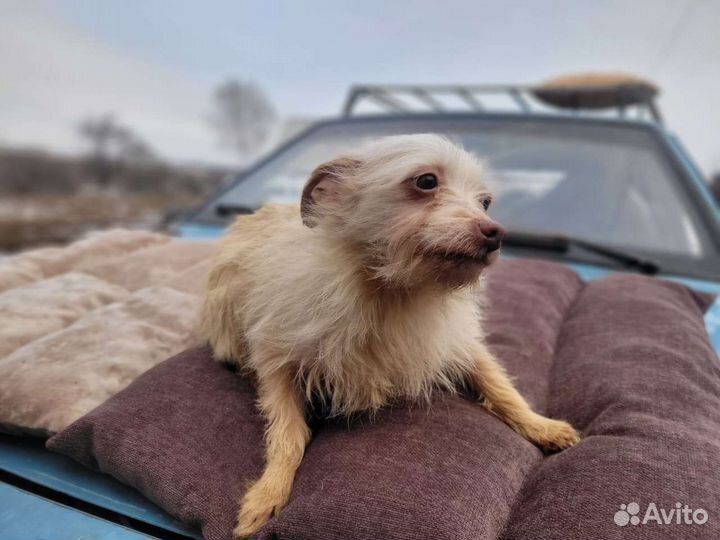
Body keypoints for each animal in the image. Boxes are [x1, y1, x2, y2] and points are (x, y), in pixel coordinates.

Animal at [200, 134, 584, 536]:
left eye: (485, 202)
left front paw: (541, 425)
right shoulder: (275, 356)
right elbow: (288, 434)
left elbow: (502, 387)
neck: (394, 290)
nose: (496, 234)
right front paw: (268, 493)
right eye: (426, 181)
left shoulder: (458, 343)